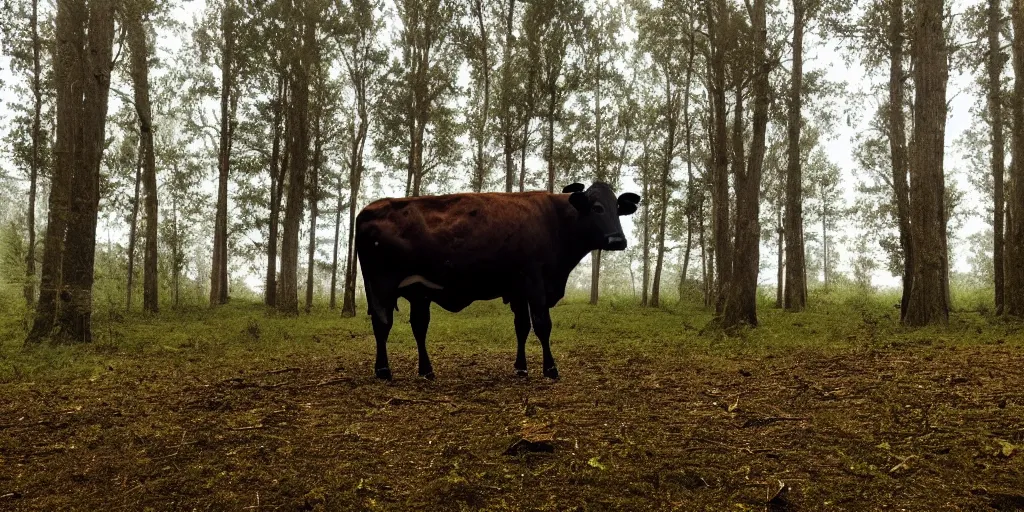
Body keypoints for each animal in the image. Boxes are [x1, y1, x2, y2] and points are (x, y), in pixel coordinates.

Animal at [356, 181, 634, 380]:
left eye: (618, 209)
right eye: (597, 207)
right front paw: (550, 369)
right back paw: (383, 371)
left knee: (418, 326)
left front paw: (521, 368)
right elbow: (542, 325)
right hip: (381, 286)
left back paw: (426, 371)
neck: (555, 220)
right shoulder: (535, 282)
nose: (617, 240)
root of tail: (367, 211)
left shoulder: (519, 289)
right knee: (382, 324)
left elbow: (522, 327)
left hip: (418, 291)